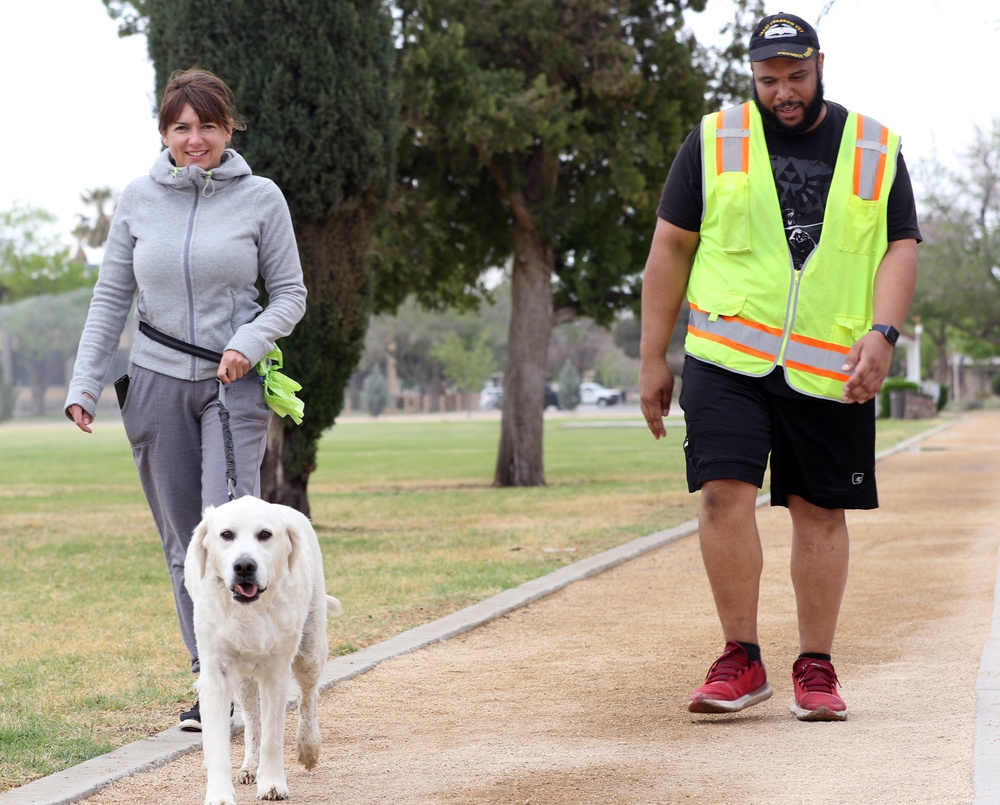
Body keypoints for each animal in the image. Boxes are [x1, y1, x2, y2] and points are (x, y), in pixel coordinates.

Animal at [185, 494, 344, 800]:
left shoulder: (276, 670)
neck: (250, 610)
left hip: (310, 648)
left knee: (308, 698)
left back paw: (309, 748)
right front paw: (220, 795)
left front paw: (272, 783)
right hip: (243, 679)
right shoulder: (216, 673)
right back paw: (250, 764)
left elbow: (273, 735)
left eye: (265, 535)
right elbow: (219, 742)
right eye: (226, 535)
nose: (244, 566)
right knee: (252, 720)